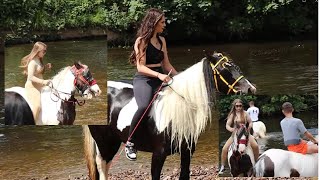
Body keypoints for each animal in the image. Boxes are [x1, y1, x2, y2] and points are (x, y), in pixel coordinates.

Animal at [84, 52, 256, 180]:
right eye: (224, 70)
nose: (250, 89)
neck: (177, 110)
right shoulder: (158, 154)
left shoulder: (187, 151)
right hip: (104, 142)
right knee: (102, 166)